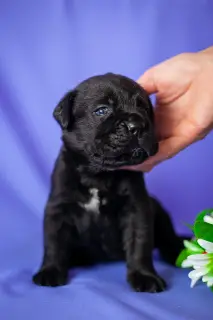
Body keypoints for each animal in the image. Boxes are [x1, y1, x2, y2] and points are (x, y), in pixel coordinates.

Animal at [32, 73, 184, 292]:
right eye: (102, 110)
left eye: (143, 108)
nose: (137, 125)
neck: (99, 174)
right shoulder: (58, 208)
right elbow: (54, 242)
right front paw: (50, 270)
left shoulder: (137, 208)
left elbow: (140, 241)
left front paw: (144, 275)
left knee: (168, 237)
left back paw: (178, 250)